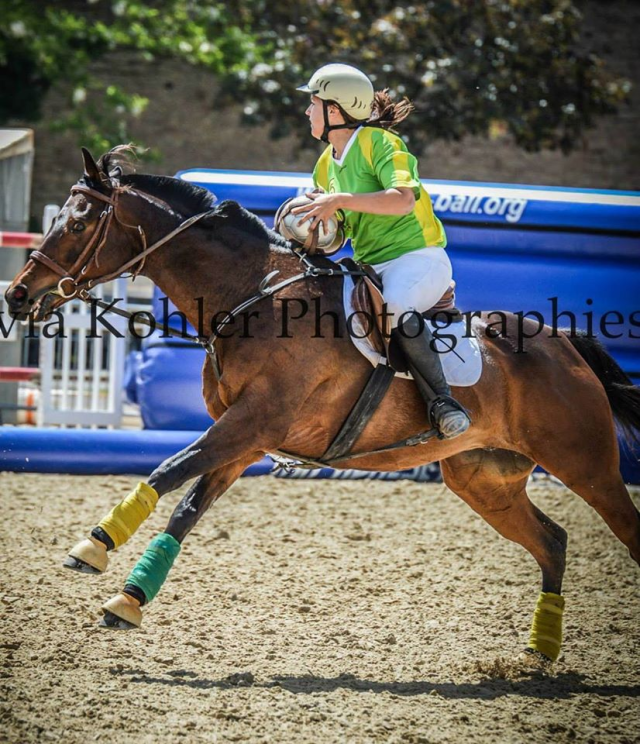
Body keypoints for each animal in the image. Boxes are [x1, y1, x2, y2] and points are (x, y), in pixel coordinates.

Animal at [5, 147, 640, 665]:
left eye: (79, 222)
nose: (18, 295)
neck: (252, 295)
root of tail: (565, 344)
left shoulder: (253, 422)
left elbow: (167, 469)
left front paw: (92, 547)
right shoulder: (246, 438)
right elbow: (186, 507)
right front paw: (129, 598)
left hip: (587, 467)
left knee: (625, 530)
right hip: (484, 480)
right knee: (553, 542)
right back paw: (541, 650)